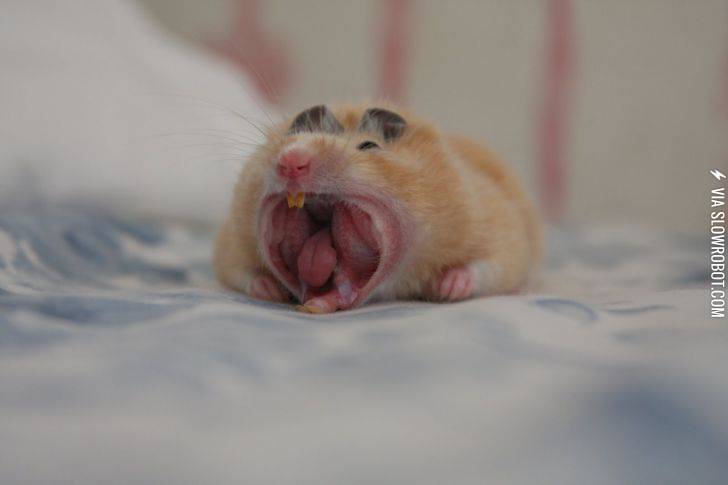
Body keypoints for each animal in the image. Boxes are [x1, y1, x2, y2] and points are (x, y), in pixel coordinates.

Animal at [214, 103, 542, 313]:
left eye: (369, 146)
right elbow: (240, 272)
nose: (291, 160)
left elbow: (488, 266)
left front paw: (446, 287)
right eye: (289, 138)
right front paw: (268, 288)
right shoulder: (231, 243)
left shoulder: (498, 229)